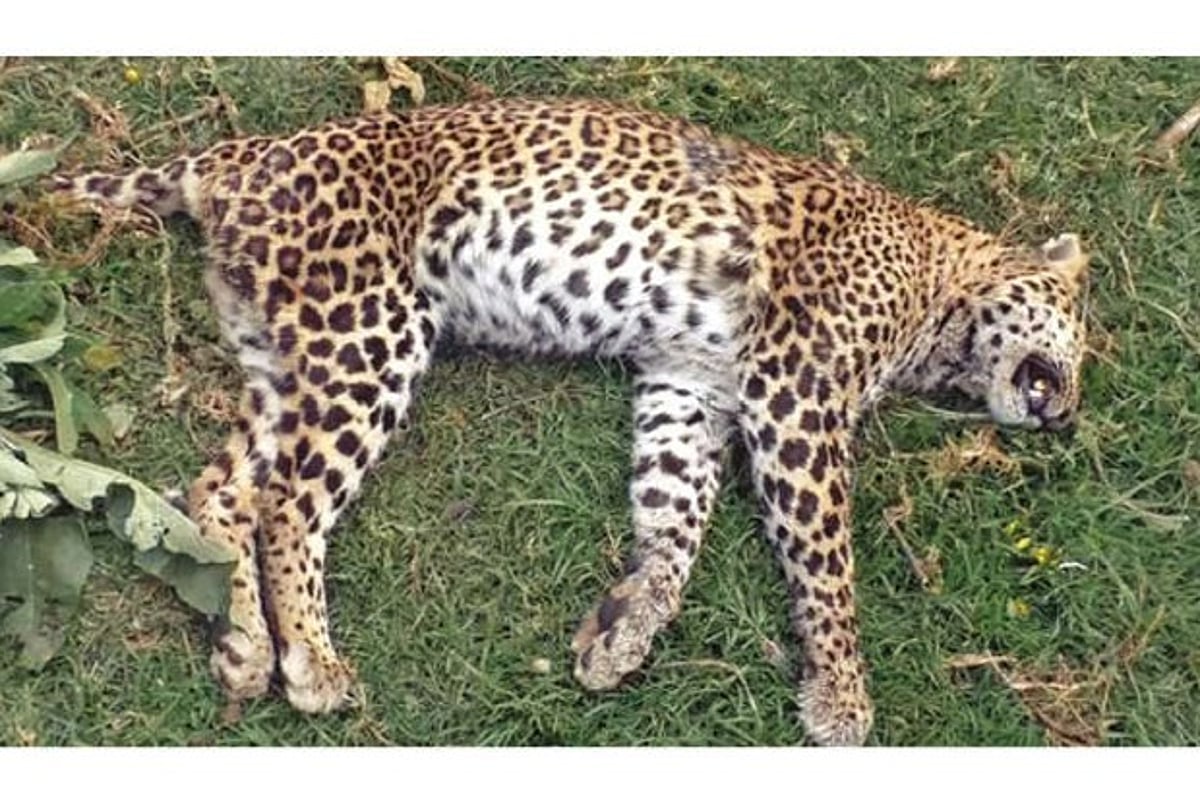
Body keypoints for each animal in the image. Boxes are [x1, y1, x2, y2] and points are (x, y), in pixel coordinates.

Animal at [51, 96, 1088, 746]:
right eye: (1079, 330)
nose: (1068, 417)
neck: (941, 298)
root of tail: (238, 155)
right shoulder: (797, 391)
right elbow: (830, 566)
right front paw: (842, 696)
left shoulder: (690, 387)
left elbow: (674, 522)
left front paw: (624, 629)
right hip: (370, 330)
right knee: (290, 507)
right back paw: (309, 657)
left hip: (281, 350)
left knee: (222, 491)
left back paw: (244, 649)